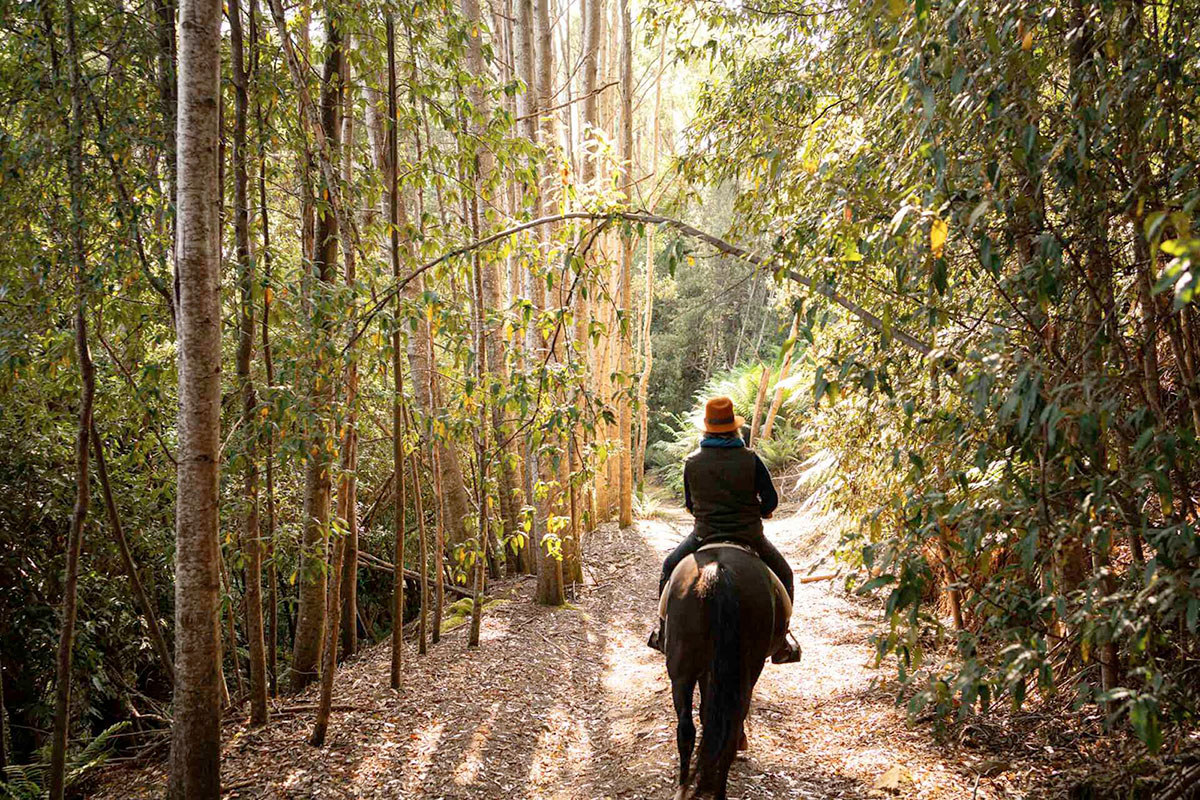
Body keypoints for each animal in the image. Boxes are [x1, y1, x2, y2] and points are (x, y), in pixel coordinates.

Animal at [657, 544, 787, 800]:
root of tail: (717, 571)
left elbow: (707, 715)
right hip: (746, 671)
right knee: (728, 726)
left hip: (682, 673)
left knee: (687, 728)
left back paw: (687, 787)